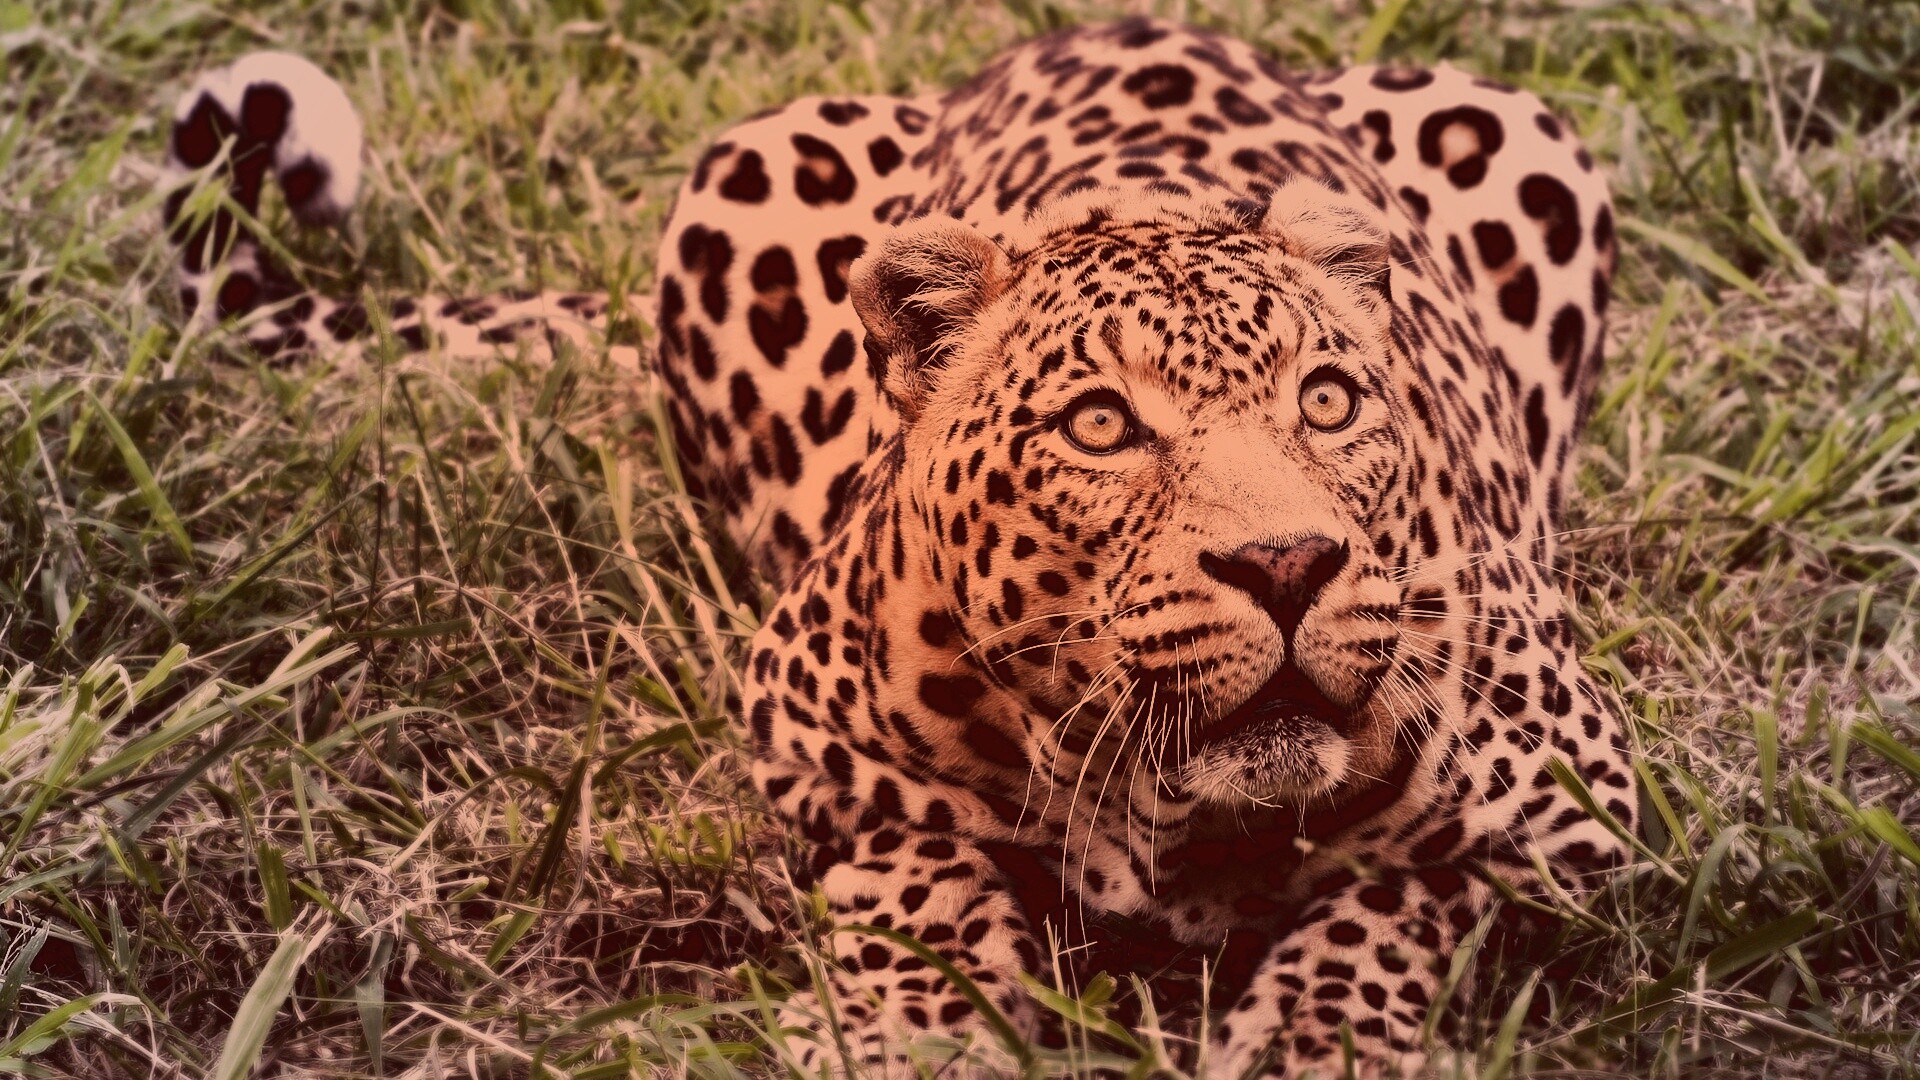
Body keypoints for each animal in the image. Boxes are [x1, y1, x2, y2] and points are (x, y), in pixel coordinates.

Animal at [159, 18, 1636, 1076]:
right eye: (1103, 425)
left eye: (1327, 403)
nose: (1286, 567)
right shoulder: (812, 740)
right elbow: (912, 868)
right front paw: (911, 1029)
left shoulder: (1575, 803)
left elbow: (1405, 893)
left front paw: (1315, 1037)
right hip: (746, 168)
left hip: (1521, 131)